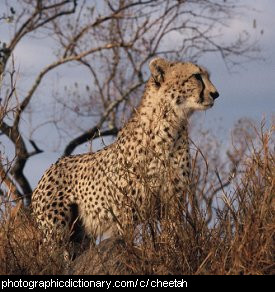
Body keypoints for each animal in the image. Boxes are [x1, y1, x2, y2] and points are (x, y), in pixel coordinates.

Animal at [31, 57, 220, 244]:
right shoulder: (126, 210)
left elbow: (173, 237)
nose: (216, 94)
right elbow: (126, 242)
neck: (171, 127)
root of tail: (51, 167)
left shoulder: (173, 201)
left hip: (80, 236)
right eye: (196, 76)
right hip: (56, 230)